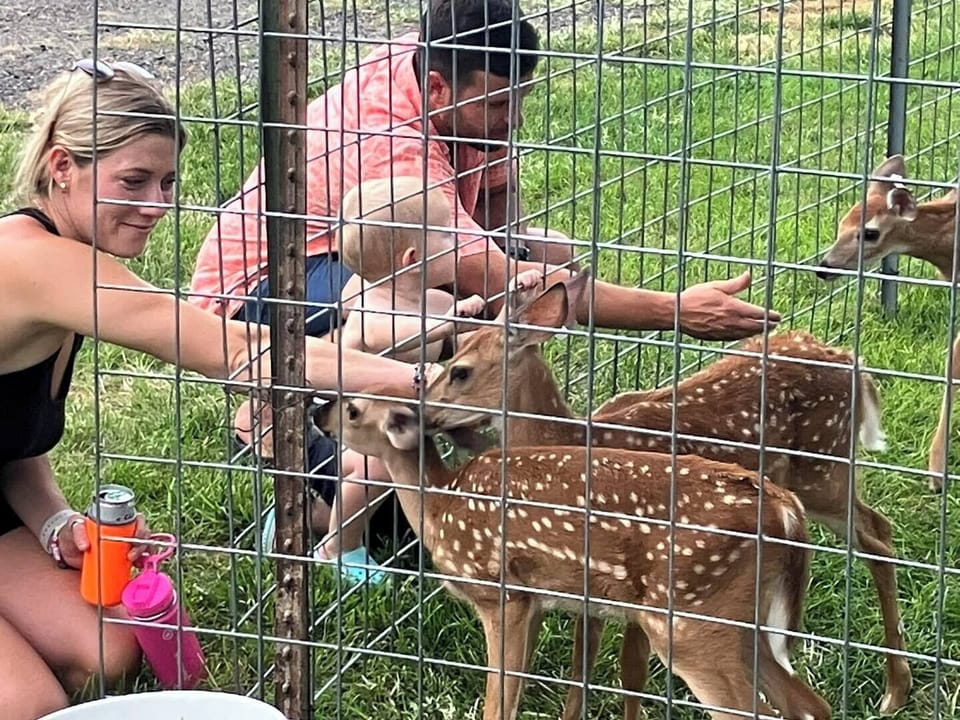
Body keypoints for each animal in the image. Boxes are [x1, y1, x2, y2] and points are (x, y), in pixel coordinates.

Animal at [312, 380, 831, 720]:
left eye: (353, 410)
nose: (318, 412)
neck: (441, 505)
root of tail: (786, 510)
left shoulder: (501, 594)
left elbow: (499, 698)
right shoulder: (536, 599)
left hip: (691, 619)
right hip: (743, 623)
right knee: (810, 705)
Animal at [422, 272, 908, 717]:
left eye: (459, 371)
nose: (424, 413)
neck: (571, 436)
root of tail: (850, 359)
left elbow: (630, 667)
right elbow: (583, 663)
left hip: (823, 468)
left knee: (877, 535)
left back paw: (895, 690)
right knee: (877, 529)